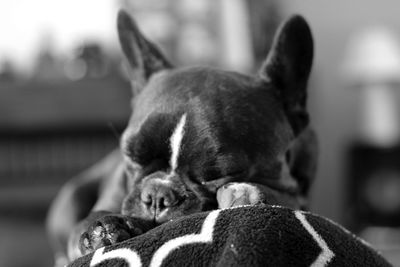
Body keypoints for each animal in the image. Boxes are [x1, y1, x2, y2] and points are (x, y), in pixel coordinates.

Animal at [46, 9, 316, 266]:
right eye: (131, 157)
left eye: (219, 174)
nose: (157, 195)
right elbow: (89, 220)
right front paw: (101, 228)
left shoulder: (302, 192)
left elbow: (287, 197)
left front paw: (247, 191)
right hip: (71, 197)